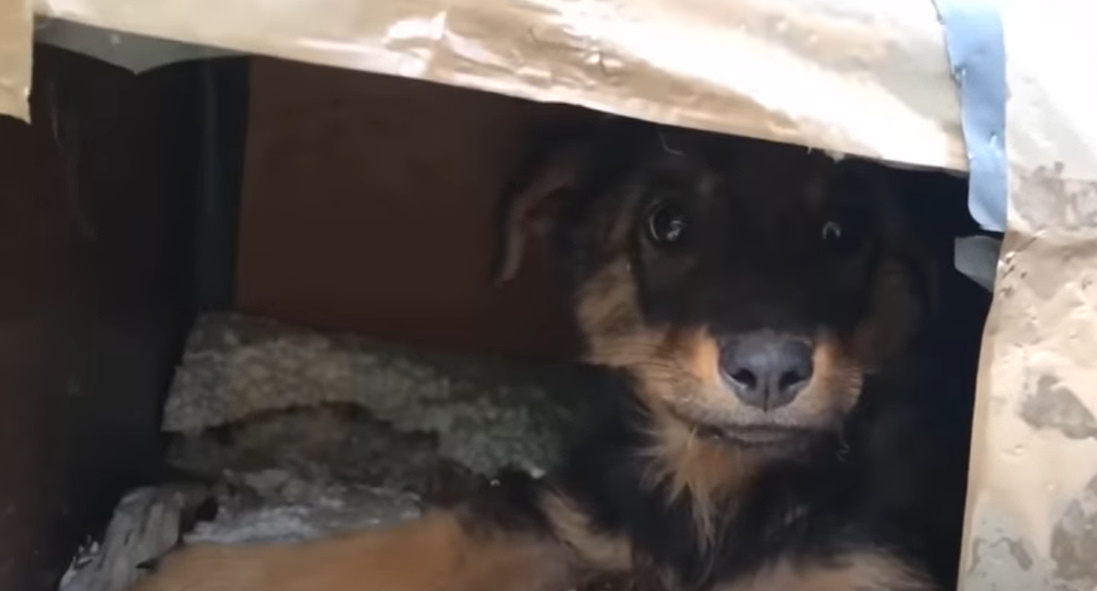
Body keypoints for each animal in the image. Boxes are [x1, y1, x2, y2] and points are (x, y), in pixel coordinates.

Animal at [128, 116, 987, 591]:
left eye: (842, 230)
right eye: (666, 222)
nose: (770, 369)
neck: (718, 486)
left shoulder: (867, 568)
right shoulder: (577, 526)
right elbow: (435, 535)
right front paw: (205, 571)